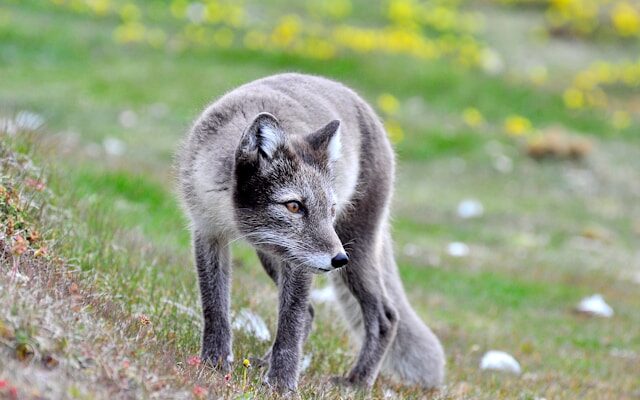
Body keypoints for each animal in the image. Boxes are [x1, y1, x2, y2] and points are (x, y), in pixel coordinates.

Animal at [176, 73, 444, 392]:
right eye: (294, 206)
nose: (339, 259)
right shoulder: (207, 232)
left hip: (354, 247)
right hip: (273, 254)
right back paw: (264, 363)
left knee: (386, 317)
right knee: (311, 312)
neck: (228, 210)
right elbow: (214, 307)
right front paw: (213, 363)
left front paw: (281, 385)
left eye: (330, 209)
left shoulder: (301, 263)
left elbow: (289, 325)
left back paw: (357, 382)